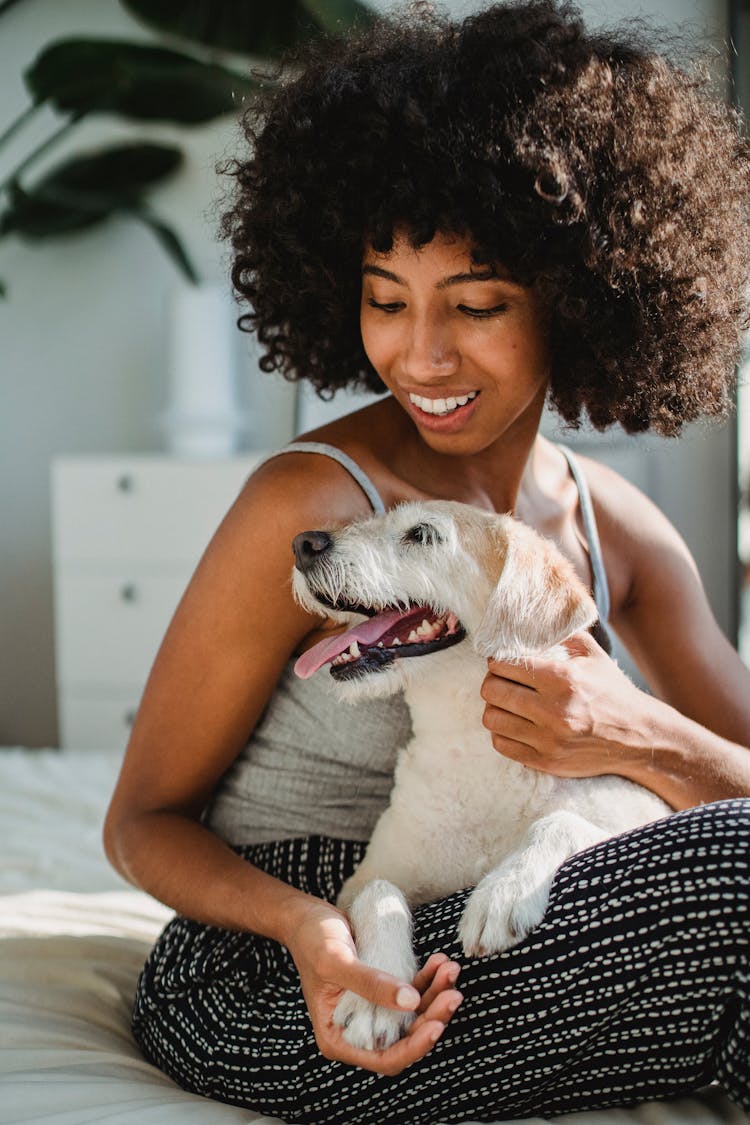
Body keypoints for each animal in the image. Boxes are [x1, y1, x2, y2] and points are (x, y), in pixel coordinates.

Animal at [290, 501, 665, 1053]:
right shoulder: (357, 883)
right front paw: (378, 993)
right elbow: (380, 890)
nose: (303, 543)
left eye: (422, 534)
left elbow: (559, 822)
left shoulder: (641, 810)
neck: (472, 745)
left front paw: (503, 890)